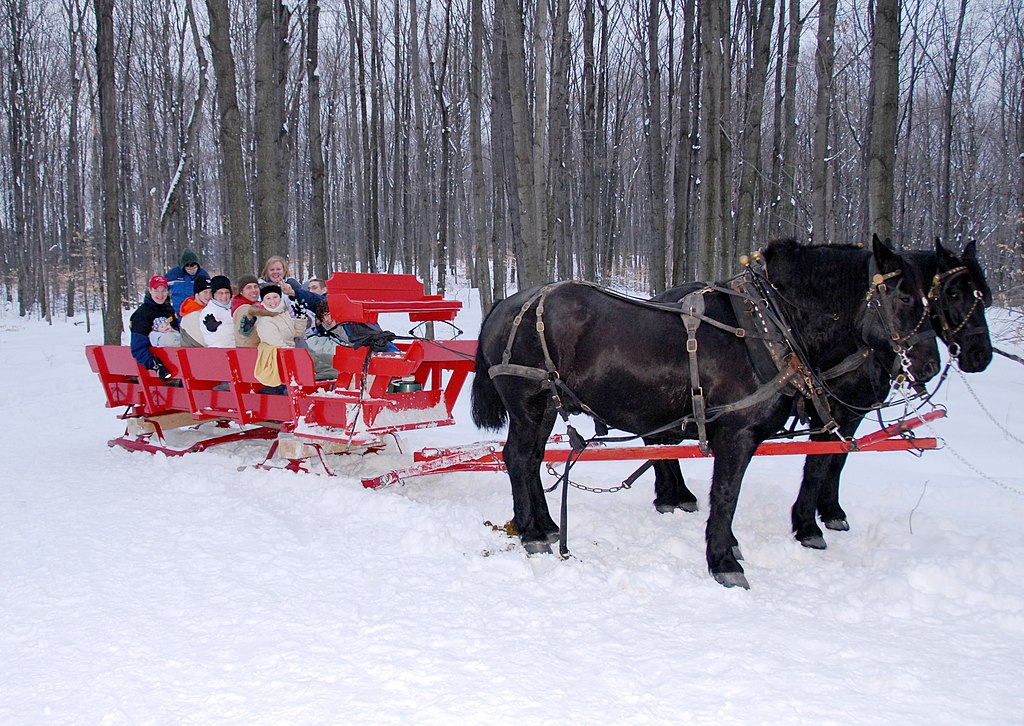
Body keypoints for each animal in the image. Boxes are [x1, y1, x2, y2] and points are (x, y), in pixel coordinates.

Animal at [468, 237, 937, 589]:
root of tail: (506, 305)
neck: (769, 324)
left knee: (531, 460)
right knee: (518, 459)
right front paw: (724, 562)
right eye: (903, 295)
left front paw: (730, 547)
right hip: (527, 405)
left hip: (546, 406)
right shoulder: (736, 435)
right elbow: (727, 496)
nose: (929, 362)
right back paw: (532, 533)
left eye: (932, 296)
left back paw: (545, 525)